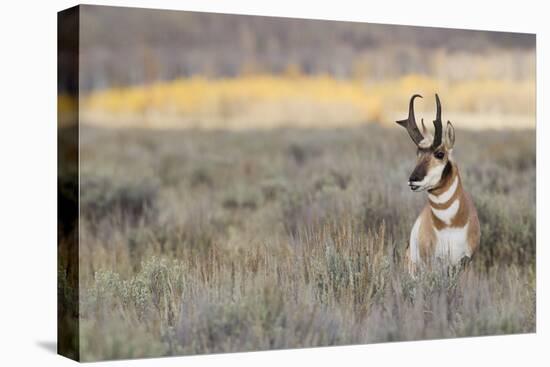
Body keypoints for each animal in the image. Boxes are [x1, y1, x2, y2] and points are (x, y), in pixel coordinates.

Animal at [396, 95, 484, 274]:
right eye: (418, 152)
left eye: (440, 153)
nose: (413, 179)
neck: (449, 224)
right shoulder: (432, 263)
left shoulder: (466, 262)